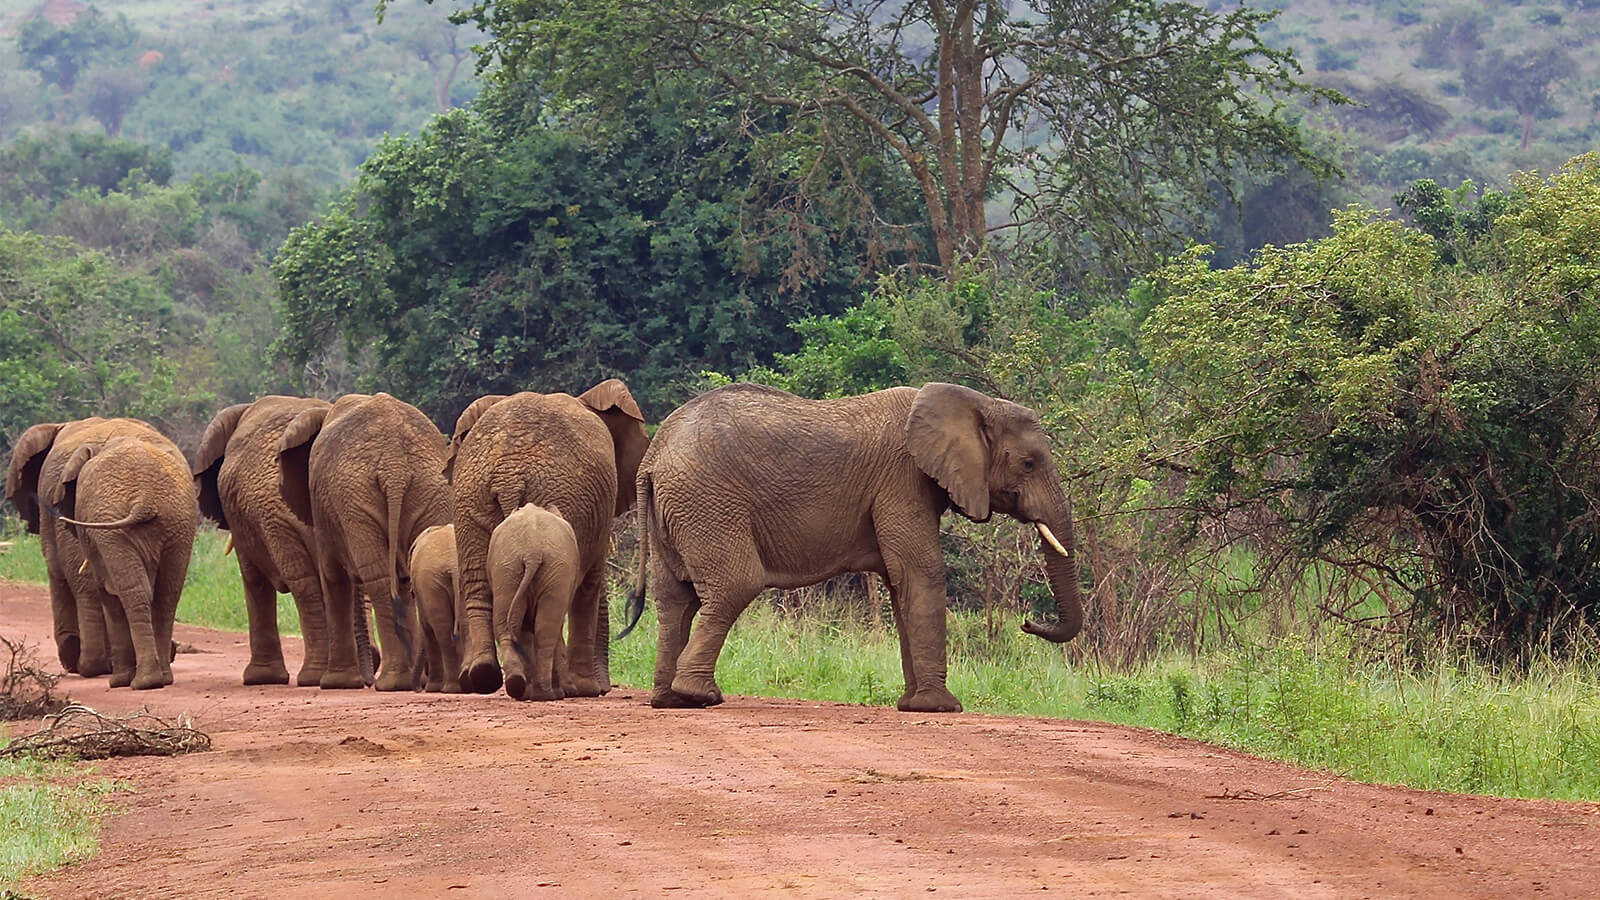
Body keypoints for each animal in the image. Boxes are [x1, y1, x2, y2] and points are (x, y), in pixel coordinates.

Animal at [406, 522, 464, 688]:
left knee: (442, 633)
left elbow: (427, 631)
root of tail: (454, 563)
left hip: (431, 584)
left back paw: (449, 688)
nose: (417, 689)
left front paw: (432, 687)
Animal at [492, 499, 588, 698]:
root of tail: (532, 552)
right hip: (551, 568)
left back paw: (520, 687)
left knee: (507, 625)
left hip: (508, 568)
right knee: (546, 630)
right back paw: (546, 695)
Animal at [624, 381, 1088, 711]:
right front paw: (942, 708)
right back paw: (701, 697)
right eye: (1028, 463)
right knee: (736, 584)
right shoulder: (901, 479)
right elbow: (922, 571)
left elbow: (901, 583)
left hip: (678, 512)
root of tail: (654, 456)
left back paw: (669, 699)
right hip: (708, 503)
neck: (971, 402)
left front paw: (912, 705)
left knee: (675, 598)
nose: (1027, 623)